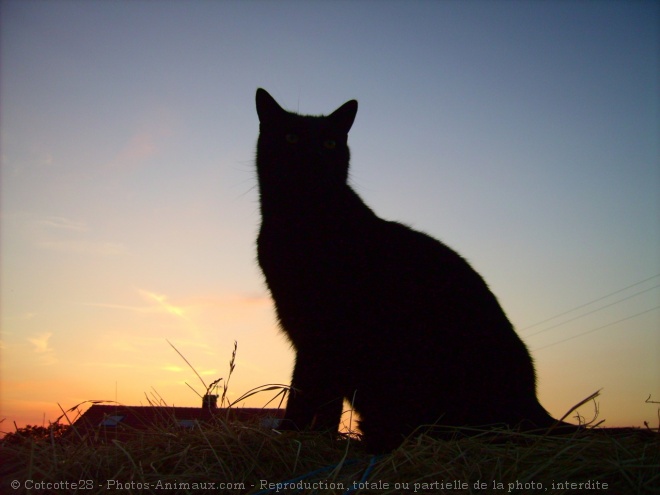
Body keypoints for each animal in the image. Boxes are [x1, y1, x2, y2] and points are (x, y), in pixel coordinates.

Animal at [255, 89, 568, 454]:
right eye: (291, 137)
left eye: (329, 143)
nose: (314, 156)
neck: (300, 220)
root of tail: (533, 404)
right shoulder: (309, 332)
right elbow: (321, 398)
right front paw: (313, 437)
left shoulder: (324, 331)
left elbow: (306, 390)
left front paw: (293, 433)